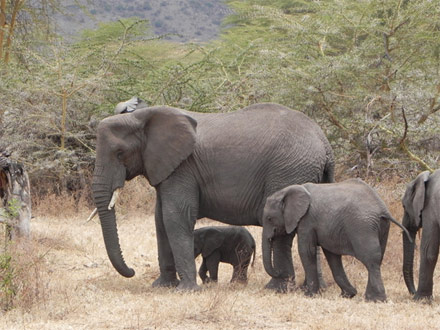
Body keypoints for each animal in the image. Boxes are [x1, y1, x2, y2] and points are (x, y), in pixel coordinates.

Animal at [92, 101, 334, 292]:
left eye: (119, 154)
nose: (132, 270)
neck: (144, 116)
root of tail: (325, 143)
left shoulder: (183, 168)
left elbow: (175, 217)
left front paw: (186, 291)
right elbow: (160, 219)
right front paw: (162, 287)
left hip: (289, 171)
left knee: (283, 232)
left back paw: (277, 288)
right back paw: (314, 289)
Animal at [262, 178, 410, 302]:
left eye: (269, 218)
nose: (280, 273)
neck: (288, 190)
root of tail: (383, 210)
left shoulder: (307, 220)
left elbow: (306, 251)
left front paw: (310, 295)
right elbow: (332, 255)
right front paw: (348, 295)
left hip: (363, 226)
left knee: (371, 260)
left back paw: (375, 300)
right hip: (382, 227)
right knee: (378, 259)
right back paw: (369, 297)